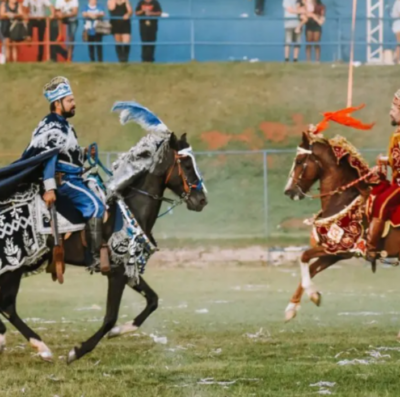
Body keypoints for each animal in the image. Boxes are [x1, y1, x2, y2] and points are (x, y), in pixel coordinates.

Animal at [282, 132, 400, 322]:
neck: (342, 200)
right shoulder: (334, 253)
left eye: (299, 161)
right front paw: (292, 307)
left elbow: (304, 256)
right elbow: (312, 268)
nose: (289, 191)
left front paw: (312, 294)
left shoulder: (340, 247)